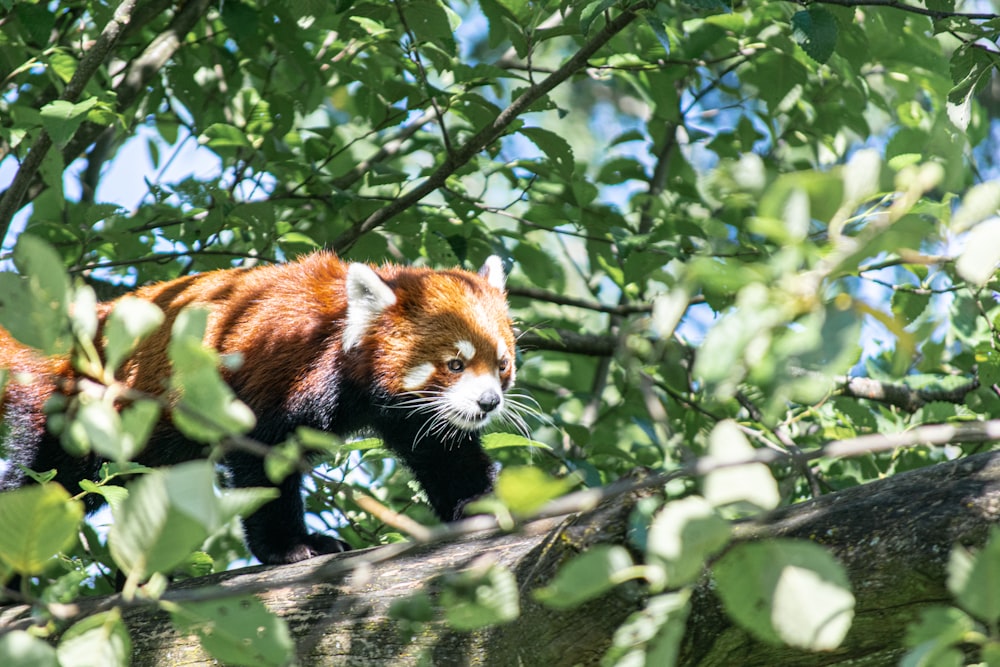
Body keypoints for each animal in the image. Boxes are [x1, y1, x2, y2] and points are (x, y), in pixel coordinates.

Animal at [0, 253, 516, 568]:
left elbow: (443, 453)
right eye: (455, 364)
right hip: (76, 417)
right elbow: (263, 463)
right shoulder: (276, 369)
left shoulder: (408, 411)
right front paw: (292, 547)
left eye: (502, 364)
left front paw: (482, 503)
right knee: (47, 483)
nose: (488, 402)